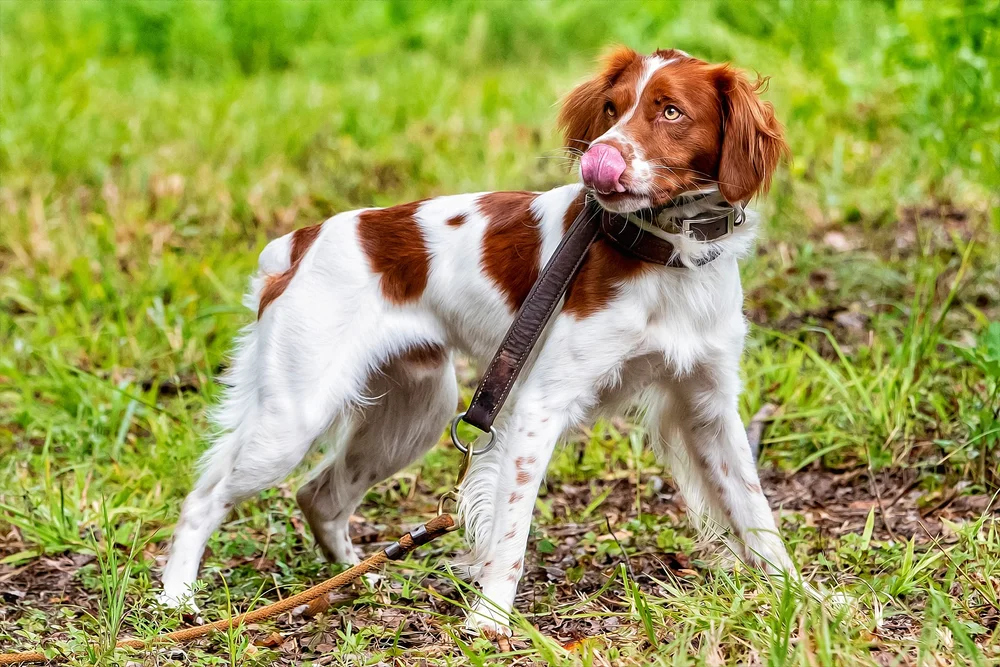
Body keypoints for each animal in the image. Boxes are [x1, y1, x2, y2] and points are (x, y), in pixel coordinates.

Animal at [162, 48, 796, 636]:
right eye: (612, 110)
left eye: (671, 112)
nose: (601, 157)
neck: (665, 255)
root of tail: (299, 242)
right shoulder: (540, 407)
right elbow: (511, 531)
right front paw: (489, 619)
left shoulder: (708, 408)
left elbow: (756, 511)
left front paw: (798, 599)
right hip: (294, 420)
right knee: (205, 499)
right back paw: (177, 598)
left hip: (414, 414)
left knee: (319, 495)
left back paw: (358, 580)